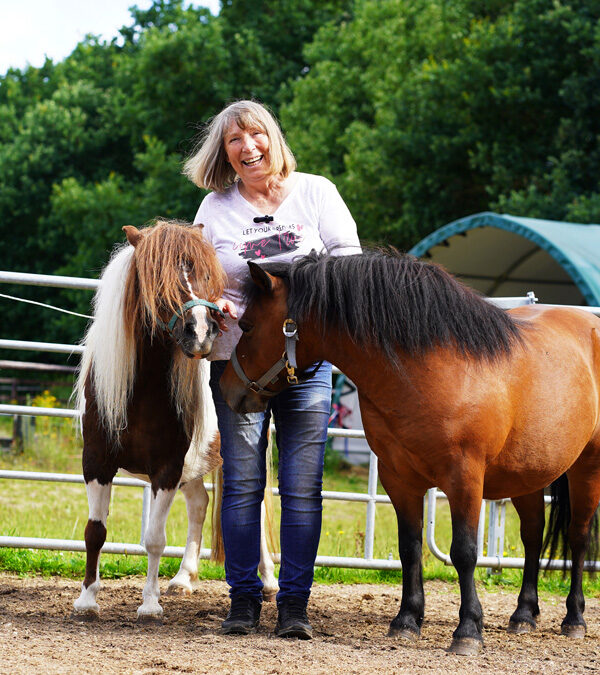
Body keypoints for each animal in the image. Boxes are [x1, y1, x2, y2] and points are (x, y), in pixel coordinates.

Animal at [72, 222, 276, 624]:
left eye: (205, 275)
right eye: (156, 277)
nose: (200, 333)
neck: (140, 391)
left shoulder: (165, 469)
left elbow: (154, 539)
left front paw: (149, 605)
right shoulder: (97, 464)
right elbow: (95, 531)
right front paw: (87, 599)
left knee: (257, 513)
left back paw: (270, 582)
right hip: (194, 466)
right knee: (200, 503)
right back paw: (183, 578)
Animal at [220, 250, 600, 656]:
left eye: (247, 326)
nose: (228, 389)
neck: (433, 369)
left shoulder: (465, 478)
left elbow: (464, 551)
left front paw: (468, 630)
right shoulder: (398, 478)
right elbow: (410, 548)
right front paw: (406, 621)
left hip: (586, 467)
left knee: (577, 536)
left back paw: (574, 619)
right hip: (527, 473)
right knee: (532, 535)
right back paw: (524, 615)